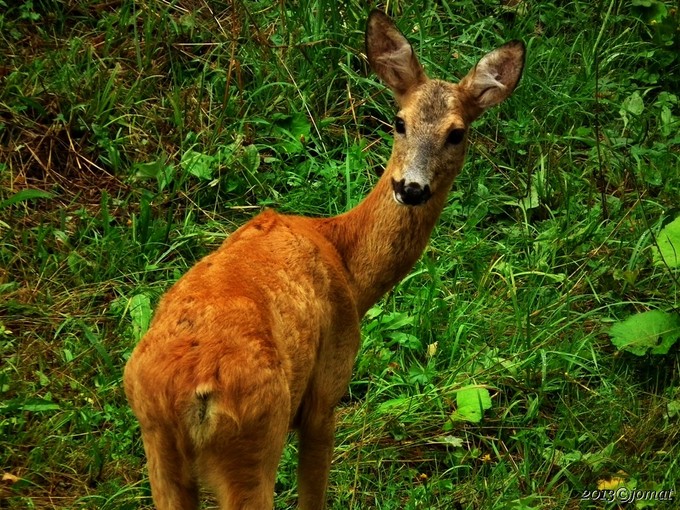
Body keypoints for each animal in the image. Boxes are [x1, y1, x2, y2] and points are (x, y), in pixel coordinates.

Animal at [123, 8, 524, 510]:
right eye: (399, 122)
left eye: (457, 133)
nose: (411, 187)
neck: (345, 260)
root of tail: (190, 392)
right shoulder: (327, 389)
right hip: (255, 438)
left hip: (157, 444)